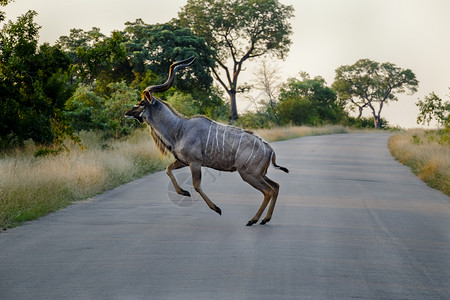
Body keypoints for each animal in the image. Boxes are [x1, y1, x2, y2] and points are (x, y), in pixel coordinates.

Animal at [125, 56, 288, 225]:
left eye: (141, 103)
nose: (127, 113)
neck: (180, 129)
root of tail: (269, 150)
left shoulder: (195, 162)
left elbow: (196, 185)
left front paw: (217, 208)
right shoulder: (182, 161)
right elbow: (168, 169)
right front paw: (183, 192)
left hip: (249, 174)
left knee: (268, 191)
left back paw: (253, 220)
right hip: (259, 174)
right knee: (276, 186)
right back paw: (264, 219)